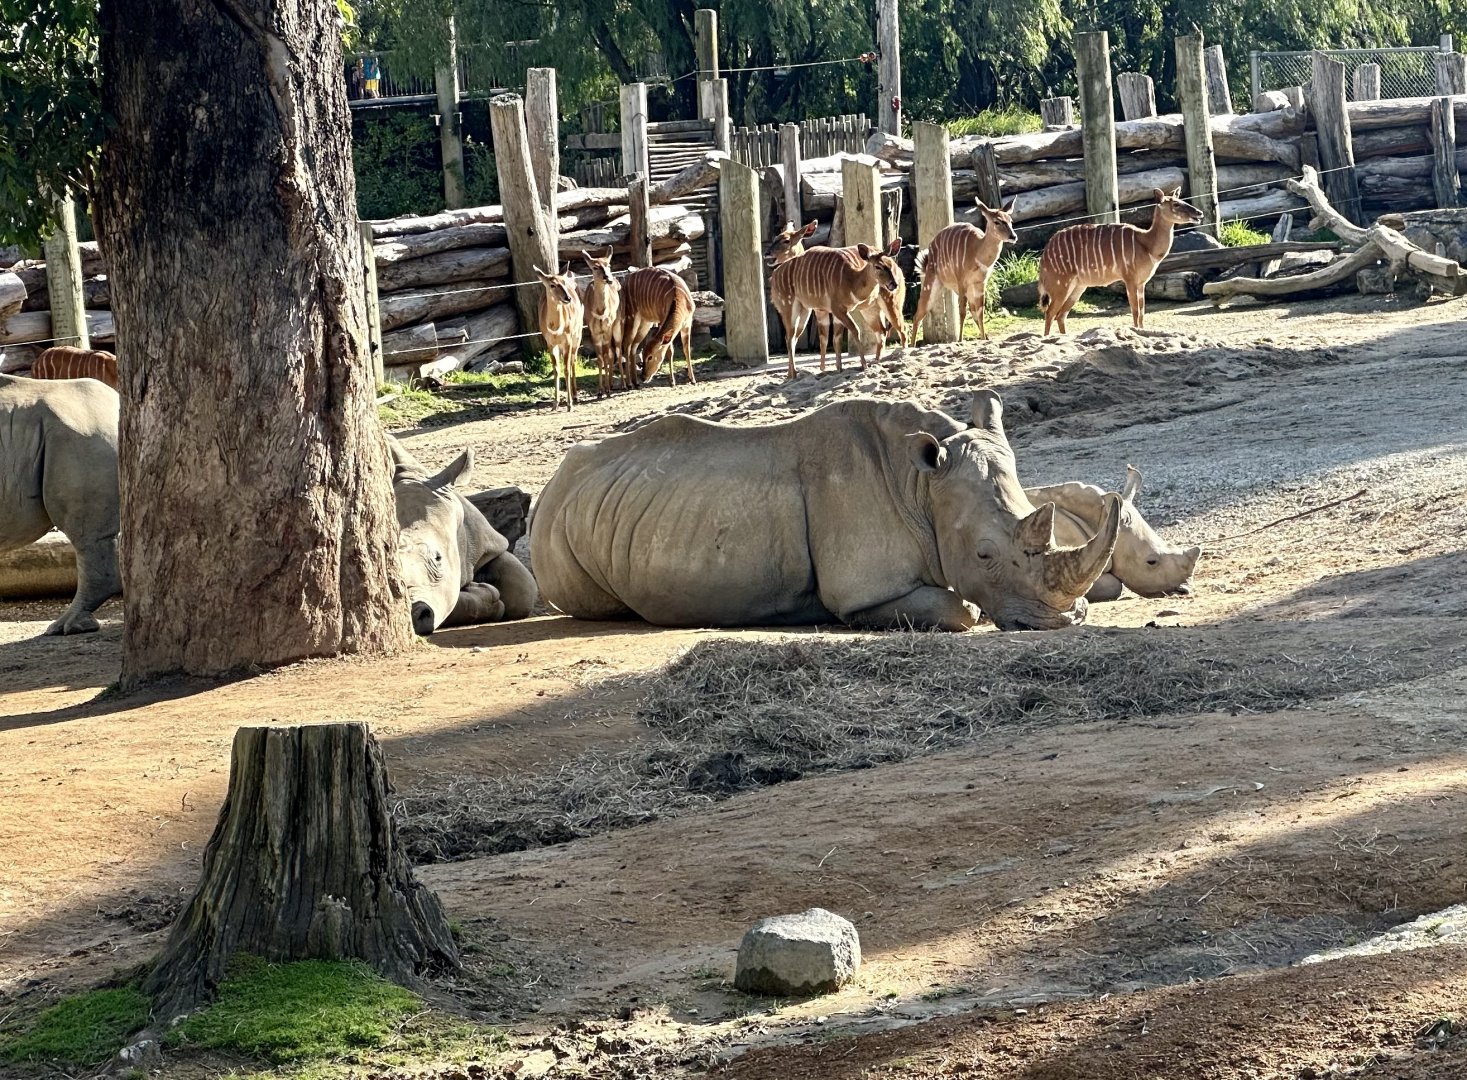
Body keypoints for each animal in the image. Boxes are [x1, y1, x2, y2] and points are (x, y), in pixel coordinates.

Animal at [529, 392, 1120, 632]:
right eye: (983, 555)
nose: (1068, 620)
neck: (923, 485)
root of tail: (554, 481)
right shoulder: (865, 589)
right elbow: (961, 609)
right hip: (554, 533)